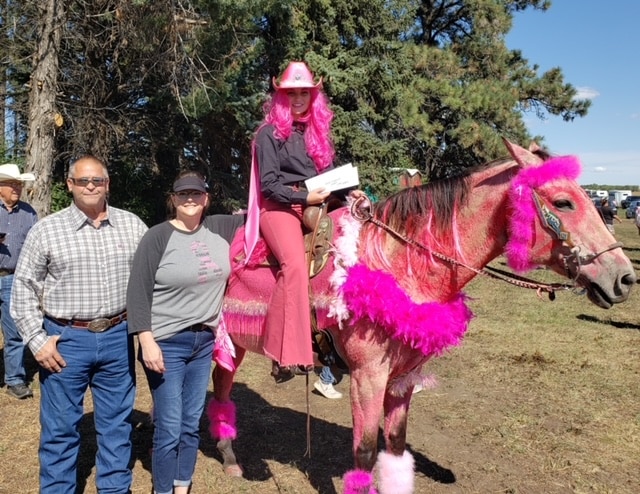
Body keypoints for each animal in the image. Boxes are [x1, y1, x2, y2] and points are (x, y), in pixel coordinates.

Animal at [209, 140, 636, 494]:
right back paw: (229, 457)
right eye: (564, 203)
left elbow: (395, 447)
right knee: (220, 386)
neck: (397, 263)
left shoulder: (402, 378)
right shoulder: (367, 377)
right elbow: (364, 452)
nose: (625, 278)